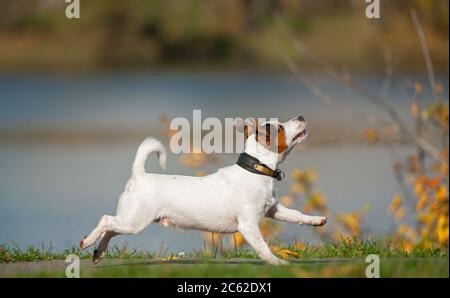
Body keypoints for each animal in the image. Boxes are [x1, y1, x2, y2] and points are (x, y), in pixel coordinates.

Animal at [80, 116, 326, 266]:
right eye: (280, 127)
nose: (301, 117)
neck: (256, 170)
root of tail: (139, 175)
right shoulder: (248, 225)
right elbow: (263, 246)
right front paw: (277, 263)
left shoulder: (273, 209)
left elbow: (296, 215)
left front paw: (316, 220)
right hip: (134, 222)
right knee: (106, 221)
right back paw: (88, 242)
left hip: (130, 220)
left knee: (110, 230)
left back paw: (98, 253)